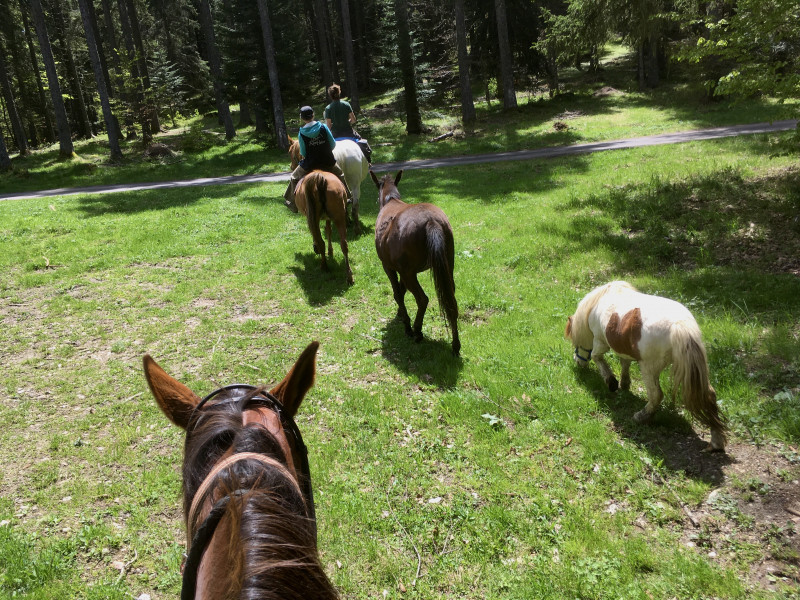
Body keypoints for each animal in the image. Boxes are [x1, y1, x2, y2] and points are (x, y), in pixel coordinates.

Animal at [370, 170, 460, 356]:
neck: (391, 200)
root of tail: (431, 221)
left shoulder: (389, 267)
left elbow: (398, 293)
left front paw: (406, 324)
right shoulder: (402, 270)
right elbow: (402, 291)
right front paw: (400, 313)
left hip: (409, 273)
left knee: (422, 299)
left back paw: (417, 330)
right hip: (446, 267)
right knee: (451, 301)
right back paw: (455, 345)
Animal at [564, 281, 727, 451]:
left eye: (575, 342)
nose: (578, 362)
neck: (598, 302)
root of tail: (681, 326)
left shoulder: (600, 342)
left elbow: (598, 358)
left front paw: (611, 382)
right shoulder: (624, 348)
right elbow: (625, 363)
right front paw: (624, 384)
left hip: (648, 368)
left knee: (656, 395)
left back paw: (641, 417)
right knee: (709, 395)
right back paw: (716, 440)